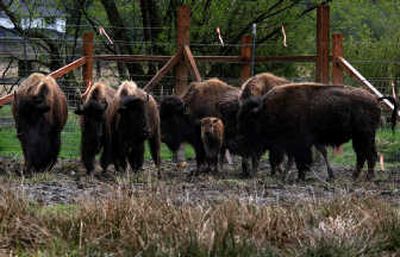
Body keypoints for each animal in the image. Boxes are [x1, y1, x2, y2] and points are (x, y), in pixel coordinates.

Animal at [236, 83, 396, 179]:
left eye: (251, 122)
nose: (244, 141)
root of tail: (375, 98)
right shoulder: (300, 143)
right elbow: (296, 158)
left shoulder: (299, 143)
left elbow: (300, 159)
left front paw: (299, 176)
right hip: (361, 138)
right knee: (364, 155)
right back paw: (356, 176)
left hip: (364, 136)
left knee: (368, 154)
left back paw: (367, 177)